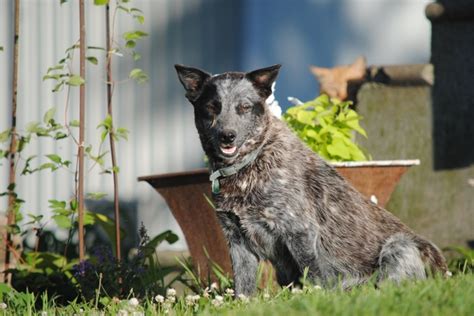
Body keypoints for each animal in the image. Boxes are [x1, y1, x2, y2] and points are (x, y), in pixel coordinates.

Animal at [174, 63, 448, 296]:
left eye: (244, 107)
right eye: (212, 107)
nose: (227, 136)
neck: (252, 162)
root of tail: (445, 273)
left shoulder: (300, 231)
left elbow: (313, 274)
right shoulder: (237, 239)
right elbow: (243, 287)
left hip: (398, 247)